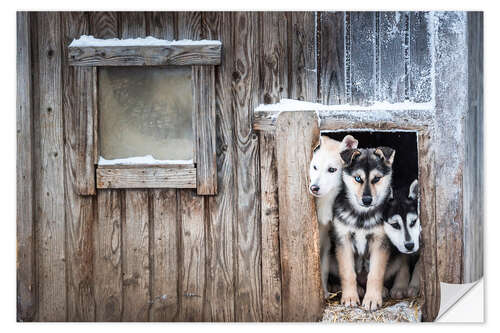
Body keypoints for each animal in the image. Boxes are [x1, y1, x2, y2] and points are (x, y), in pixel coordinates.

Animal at [310, 134, 358, 296]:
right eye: (314, 167)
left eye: (332, 169)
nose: (314, 188)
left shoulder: (326, 242)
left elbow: (323, 270)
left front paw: (324, 293)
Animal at [332, 147, 394, 310]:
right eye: (358, 178)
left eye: (377, 179)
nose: (367, 200)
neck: (362, 215)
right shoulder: (343, 240)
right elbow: (347, 272)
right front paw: (349, 297)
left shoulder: (380, 241)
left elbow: (375, 273)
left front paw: (372, 298)